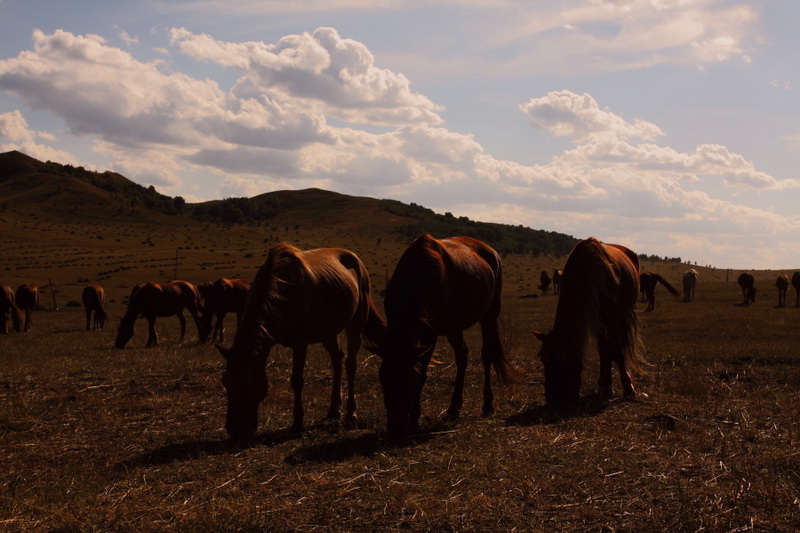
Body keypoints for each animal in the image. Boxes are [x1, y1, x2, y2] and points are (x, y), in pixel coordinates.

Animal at [216, 242, 384, 440]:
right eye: (225, 382)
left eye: (245, 383)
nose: (234, 430)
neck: (281, 294)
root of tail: (355, 259)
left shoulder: (299, 344)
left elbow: (296, 380)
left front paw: (297, 422)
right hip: (328, 331)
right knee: (337, 359)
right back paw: (334, 410)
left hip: (356, 324)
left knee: (350, 365)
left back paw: (351, 413)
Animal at [368, 235, 516, 434]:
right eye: (383, 379)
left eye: (409, 381)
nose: (395, 427)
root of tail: (491, 252)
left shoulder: (430, 335)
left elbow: (423, 372)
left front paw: (414, 418)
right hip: (454, 327)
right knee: (462, 357)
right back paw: (454, 407)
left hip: (489, 316)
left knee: (487, 354)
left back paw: (487, 405)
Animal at [532, 237, 644, 408]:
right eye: (543, 360)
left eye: (560, 361)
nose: (553, 399)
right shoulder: (598, 321)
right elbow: (604, 350)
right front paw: (606, 386)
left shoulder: (612, 320)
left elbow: (617, 351)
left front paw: (628, 388)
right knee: (604, 349)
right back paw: (604, 384)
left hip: (623, 316)